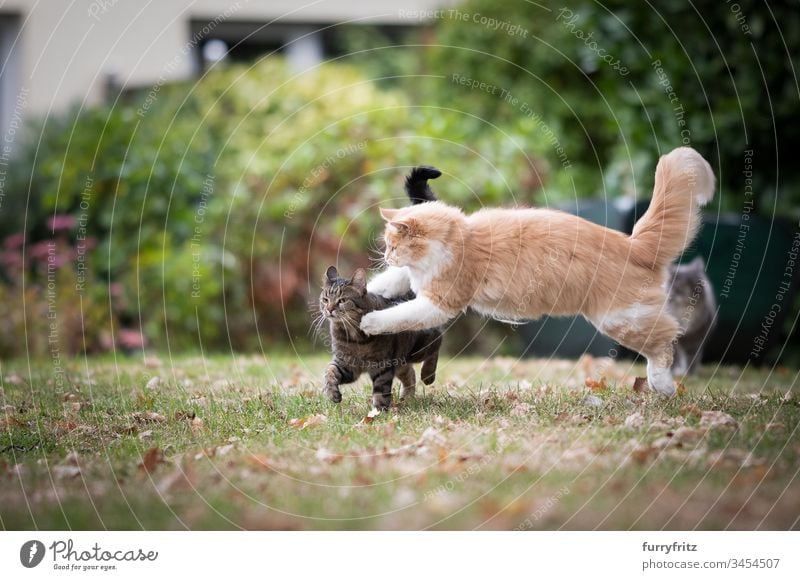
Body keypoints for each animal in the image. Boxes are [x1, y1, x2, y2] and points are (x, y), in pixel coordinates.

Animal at [318, 266, 444, 410]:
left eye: (342, 300)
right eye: (325, 300)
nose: (329, 309)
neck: (353, 335)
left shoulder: (381, 366)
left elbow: (381, 390)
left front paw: (379, 411)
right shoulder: (347, 364)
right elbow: (329, 371)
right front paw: (331, 393)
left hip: (419, 349)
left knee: (438, 340)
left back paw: (428, 374)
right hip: (400, 361)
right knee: (410, 374)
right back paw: (406, 399)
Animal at [360, 147, 716, 396]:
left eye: (392, 245)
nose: (387, 255)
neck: (460, 238)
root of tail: (634, 244)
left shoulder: (440, 301)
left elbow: (400, 315)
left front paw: (370, 320)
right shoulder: (421, 278)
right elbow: (393, 282)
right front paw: (369, 292)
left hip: (620, 319)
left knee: (667, 340)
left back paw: (664, 385)